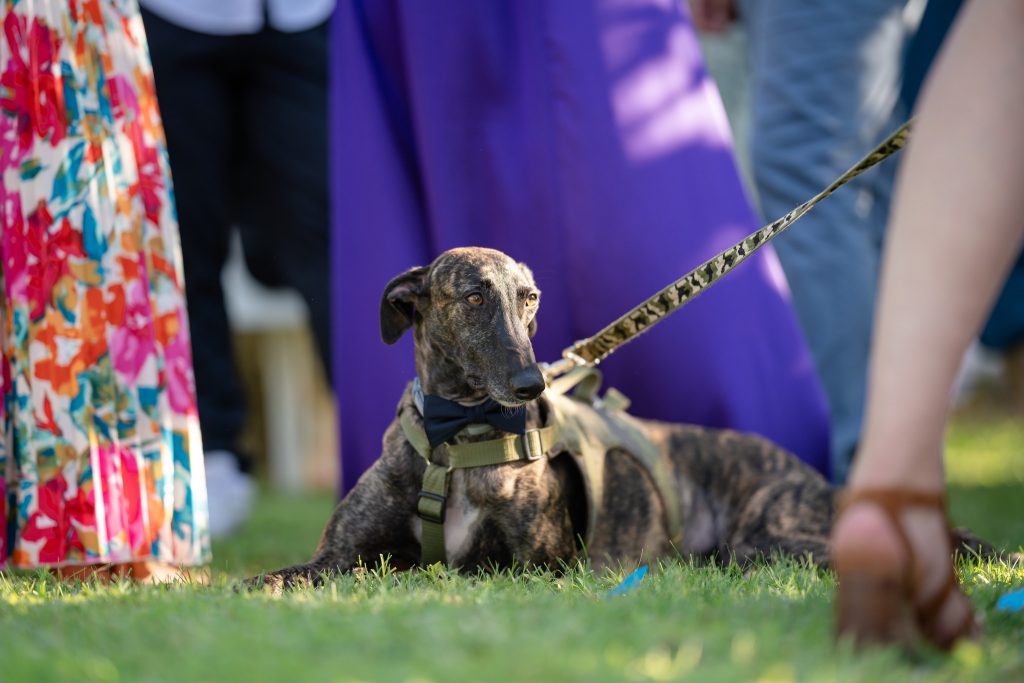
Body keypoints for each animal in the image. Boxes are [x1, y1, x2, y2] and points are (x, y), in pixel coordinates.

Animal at [247, 247, 989, 591]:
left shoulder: (528, 569)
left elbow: (426, 569)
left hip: (770, 539)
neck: (456, 442)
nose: (530, 384)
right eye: (474, 296)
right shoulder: (335, 555)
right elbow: (289, 573)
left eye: (529, 297)